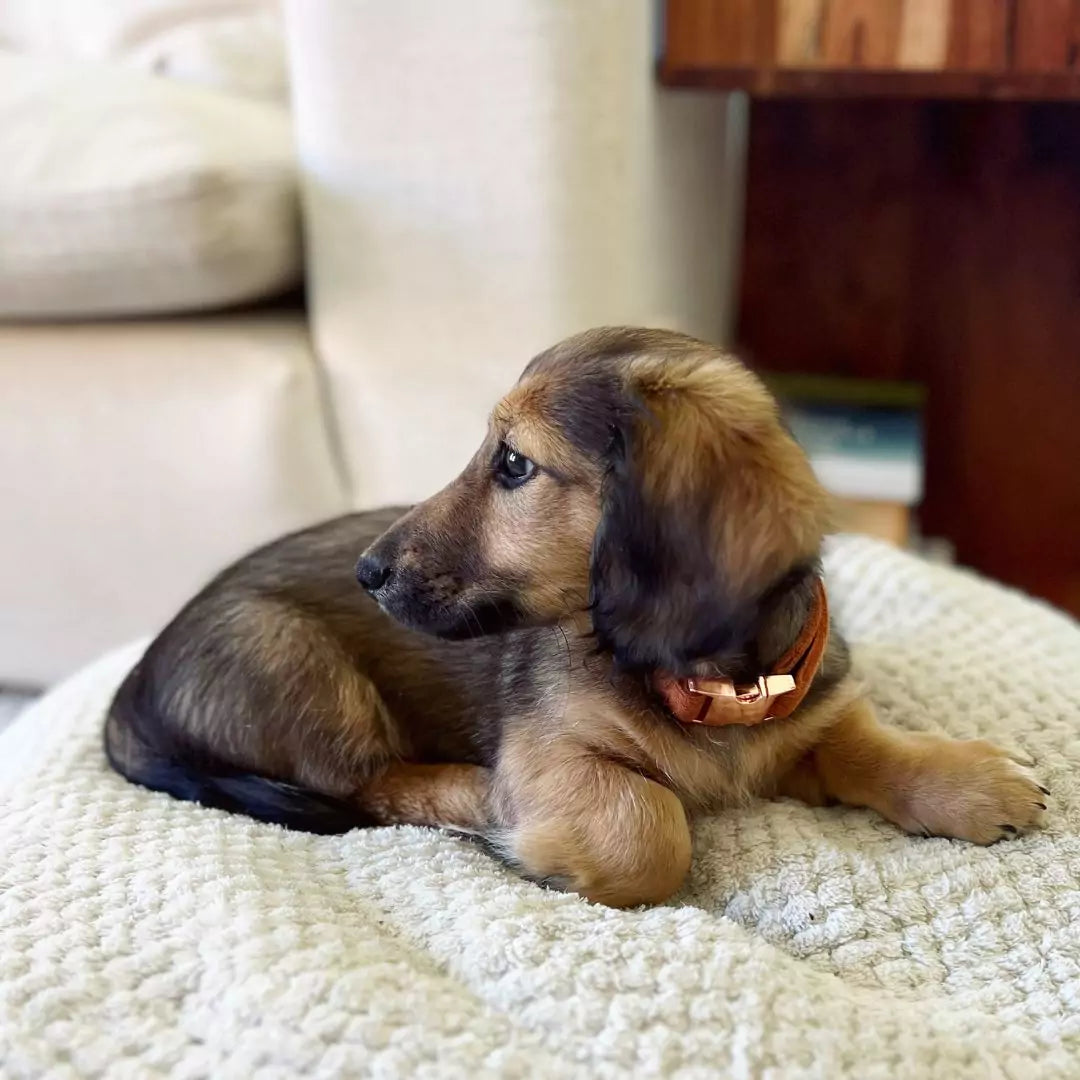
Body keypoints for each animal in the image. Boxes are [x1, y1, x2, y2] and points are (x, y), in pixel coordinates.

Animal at [103, 328, 1045, 911]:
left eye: (515, 464)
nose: (366, 573)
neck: (709, 689)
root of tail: (129, 691)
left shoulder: (807, 710)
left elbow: (867, 742)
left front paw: (970, 777)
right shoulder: (553, 749)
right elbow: (651, 832)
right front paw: (546, 841)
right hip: (299, 661)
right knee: (365, 784)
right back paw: (472, 796)